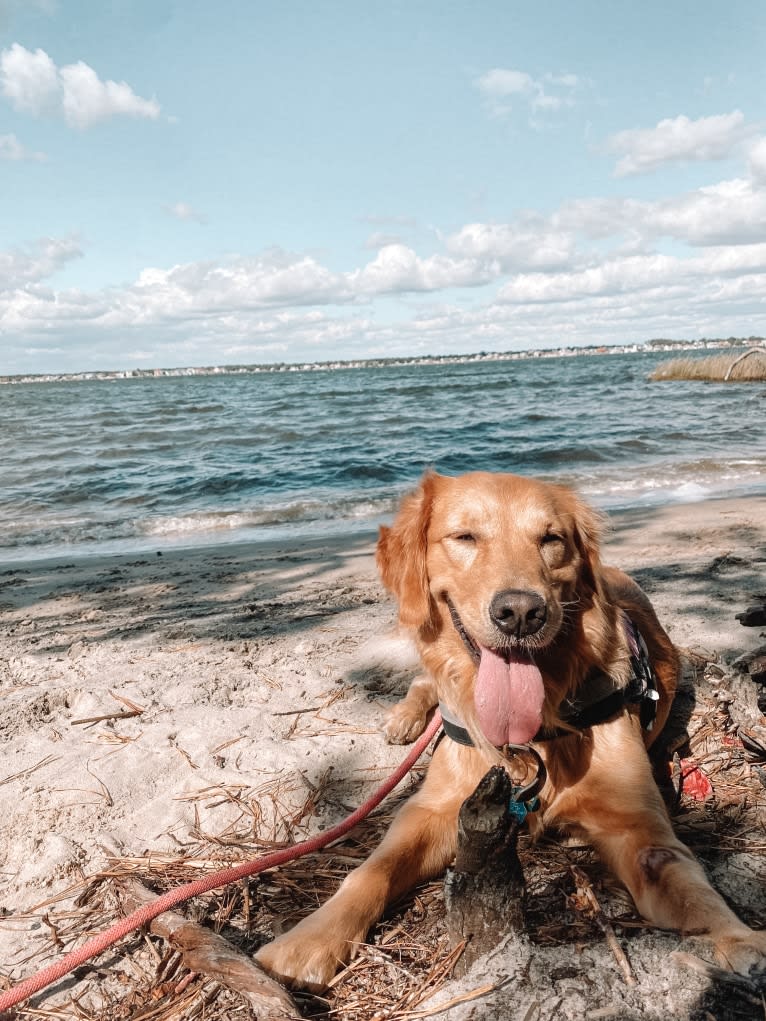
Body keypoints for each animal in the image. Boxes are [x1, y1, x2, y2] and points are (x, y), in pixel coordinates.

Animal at [259, 469, 766, 988]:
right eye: (464, 537)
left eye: (551, 539)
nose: (521, 612)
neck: (533, 733)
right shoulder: (431, 810)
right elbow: (372, 870)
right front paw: (309, 939)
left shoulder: (638, 829)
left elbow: (686, 883)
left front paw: (738, 940)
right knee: (426, 680)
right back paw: (405, 717)